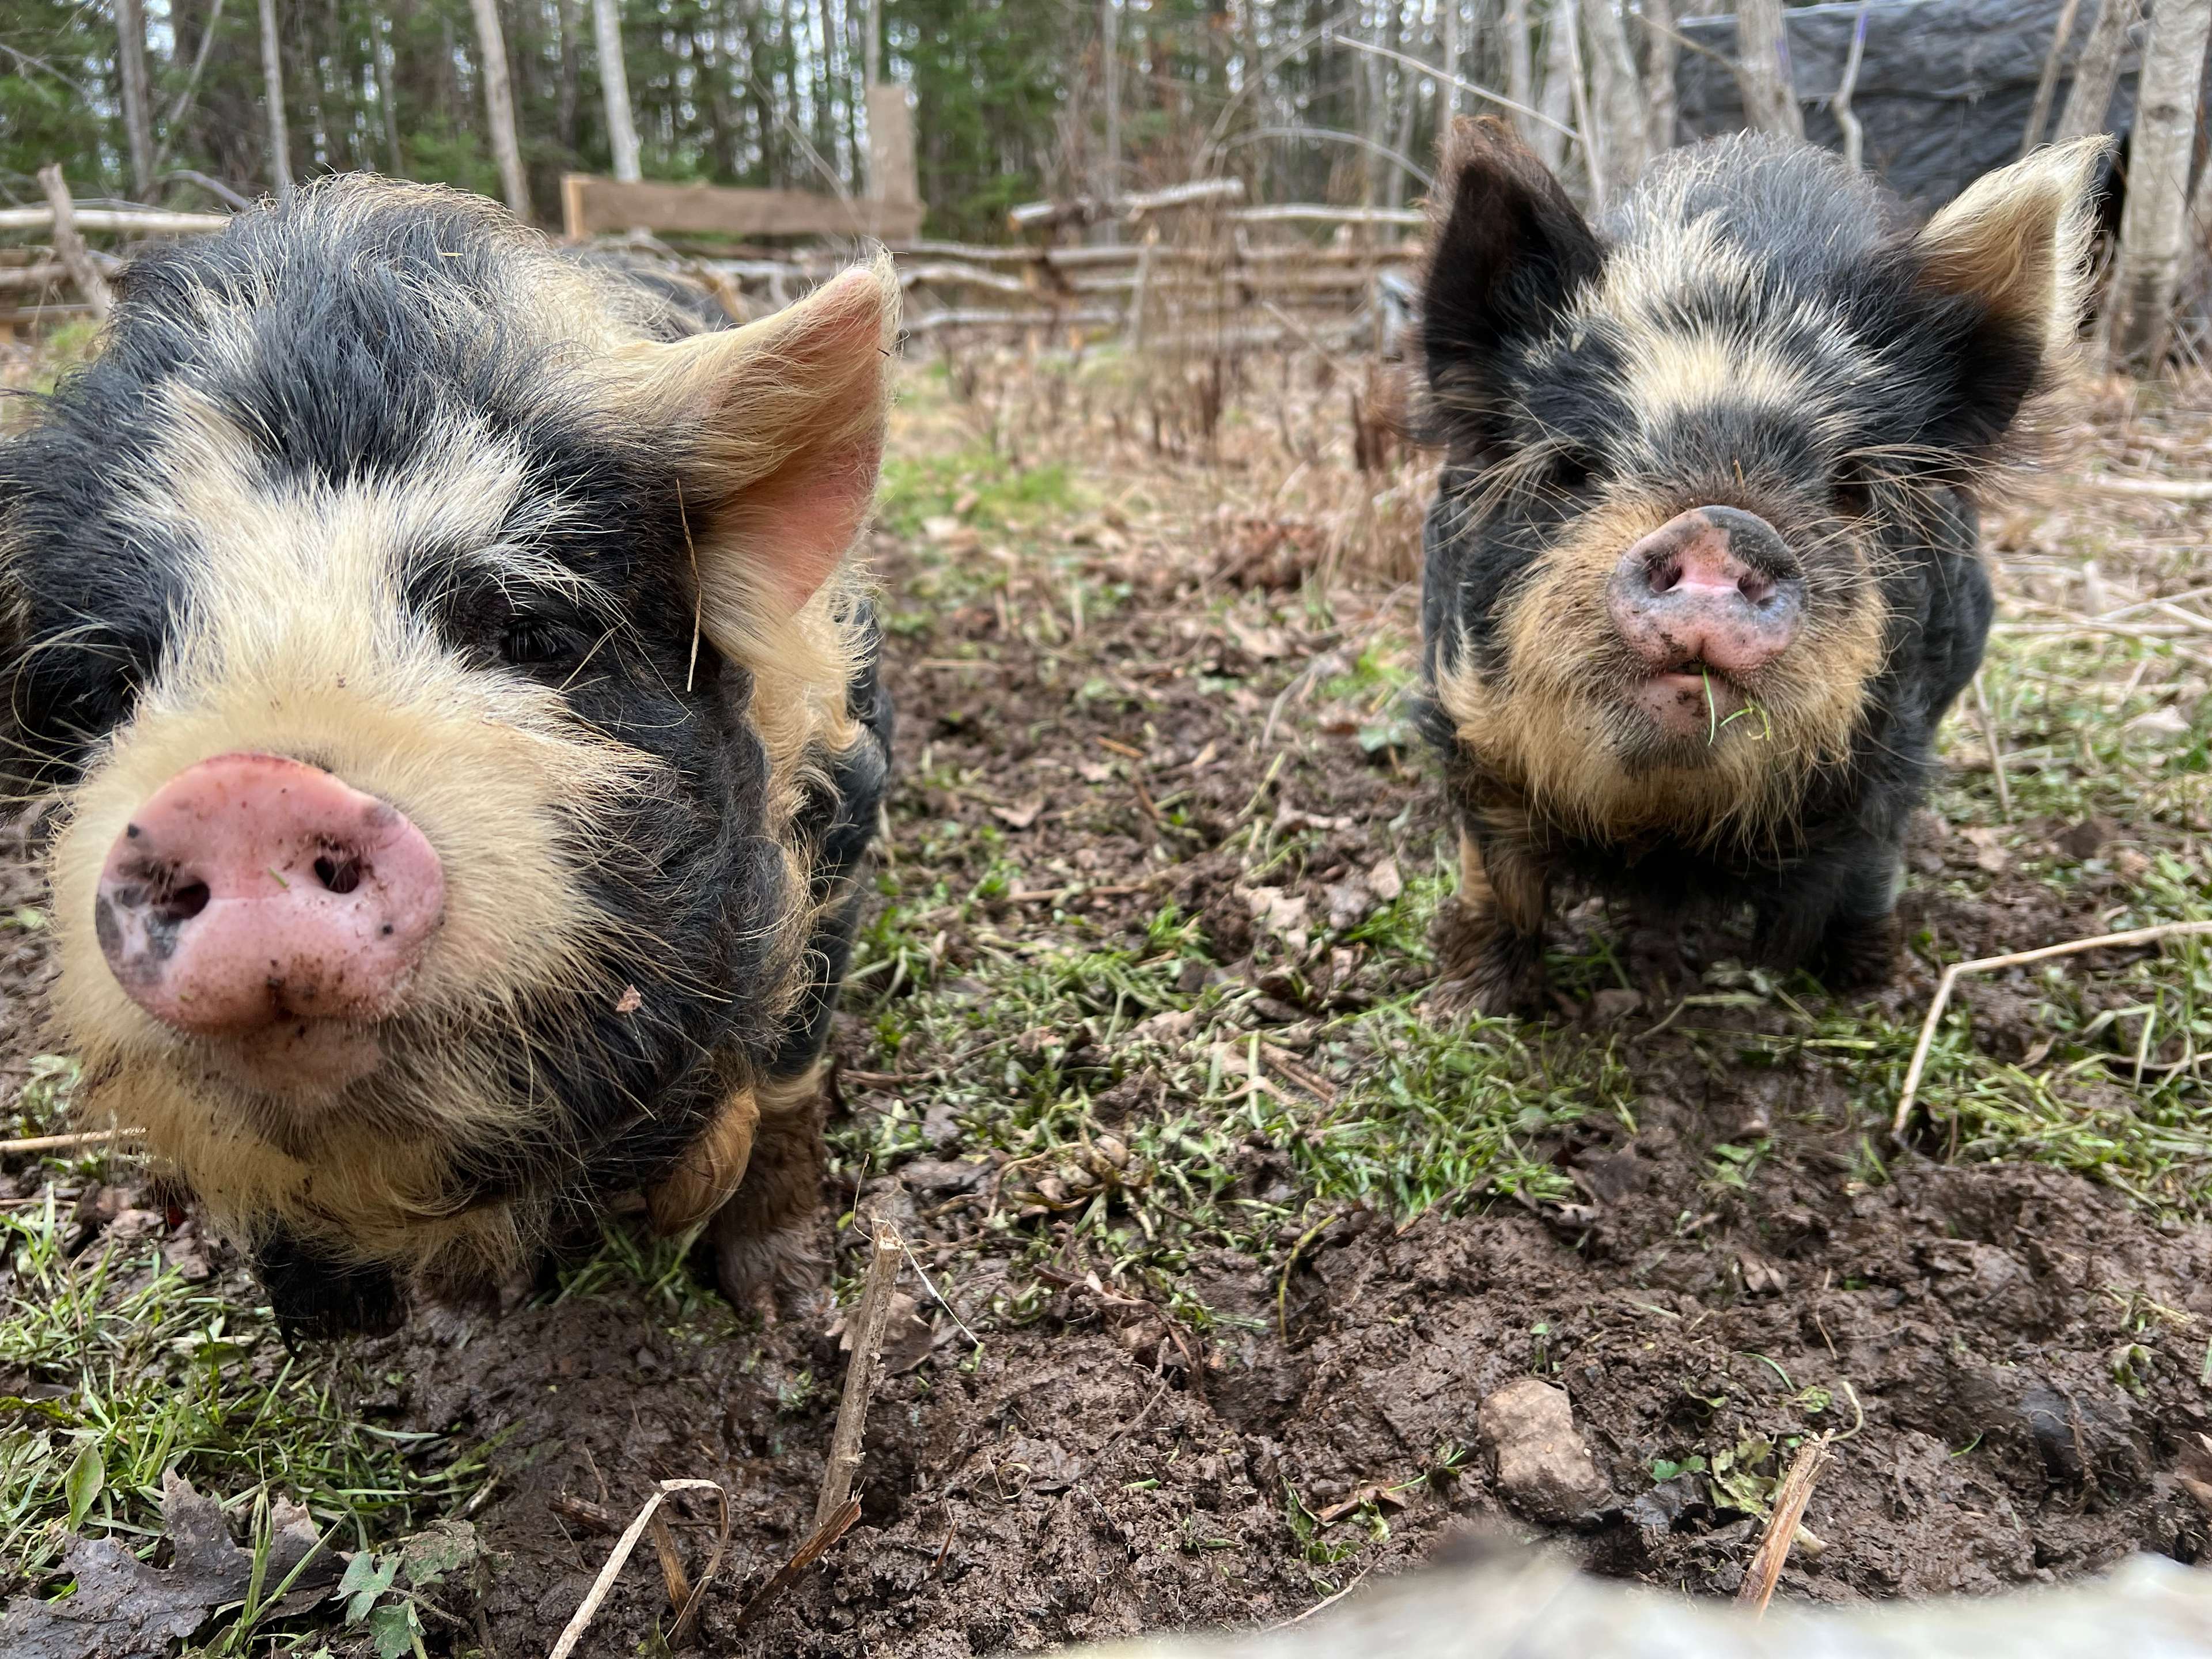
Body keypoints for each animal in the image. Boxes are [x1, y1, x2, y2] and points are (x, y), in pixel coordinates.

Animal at [0, 178, 898, 1335]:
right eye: (103, 690)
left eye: (528, 632)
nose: (244, 793)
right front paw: (460, 1315)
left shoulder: (843, 813)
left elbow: (785, 1082)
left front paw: (784, 1305)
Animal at [1414, 121, 2108, 1014]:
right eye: (1572, 467)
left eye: (1851, 484)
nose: (1720, 528)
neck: (1671, 835)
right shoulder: (1464, 717)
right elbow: (1495, 873)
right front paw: (1471, 1002)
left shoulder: (1894, 754)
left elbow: (1869, 872)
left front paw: (1868, 990)